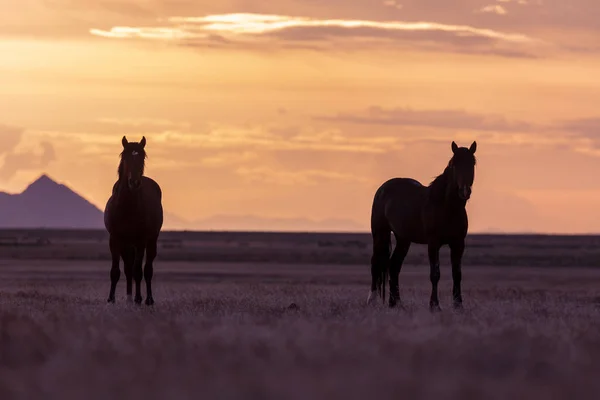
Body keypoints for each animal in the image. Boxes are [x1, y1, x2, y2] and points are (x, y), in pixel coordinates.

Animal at [103, 136, 164, 304]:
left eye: (142, 157)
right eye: (125, 157)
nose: (134, 182)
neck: (127, 206)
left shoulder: (140, 240)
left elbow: (138, 271)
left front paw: (138, 298)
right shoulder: (115, 239)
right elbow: (116, 271)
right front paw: (111, 299)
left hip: (151, 241)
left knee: (147, 269)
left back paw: (147, 299)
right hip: (126, 244)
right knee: (128, 268)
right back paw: (129, 297)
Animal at [366, 141, 478, 312]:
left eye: (472, 163)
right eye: (454, 164)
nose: (464, 191)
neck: (445, 207)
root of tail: (383, 189)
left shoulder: (458, 244)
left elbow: (457, 274)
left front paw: (458, 305)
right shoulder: (433, 243)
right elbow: (435, 274)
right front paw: (434, 305)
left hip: (403, 239)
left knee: (394, 265)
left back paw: (395, 303)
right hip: (380, 234)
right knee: (375, 263)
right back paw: (372, 301)